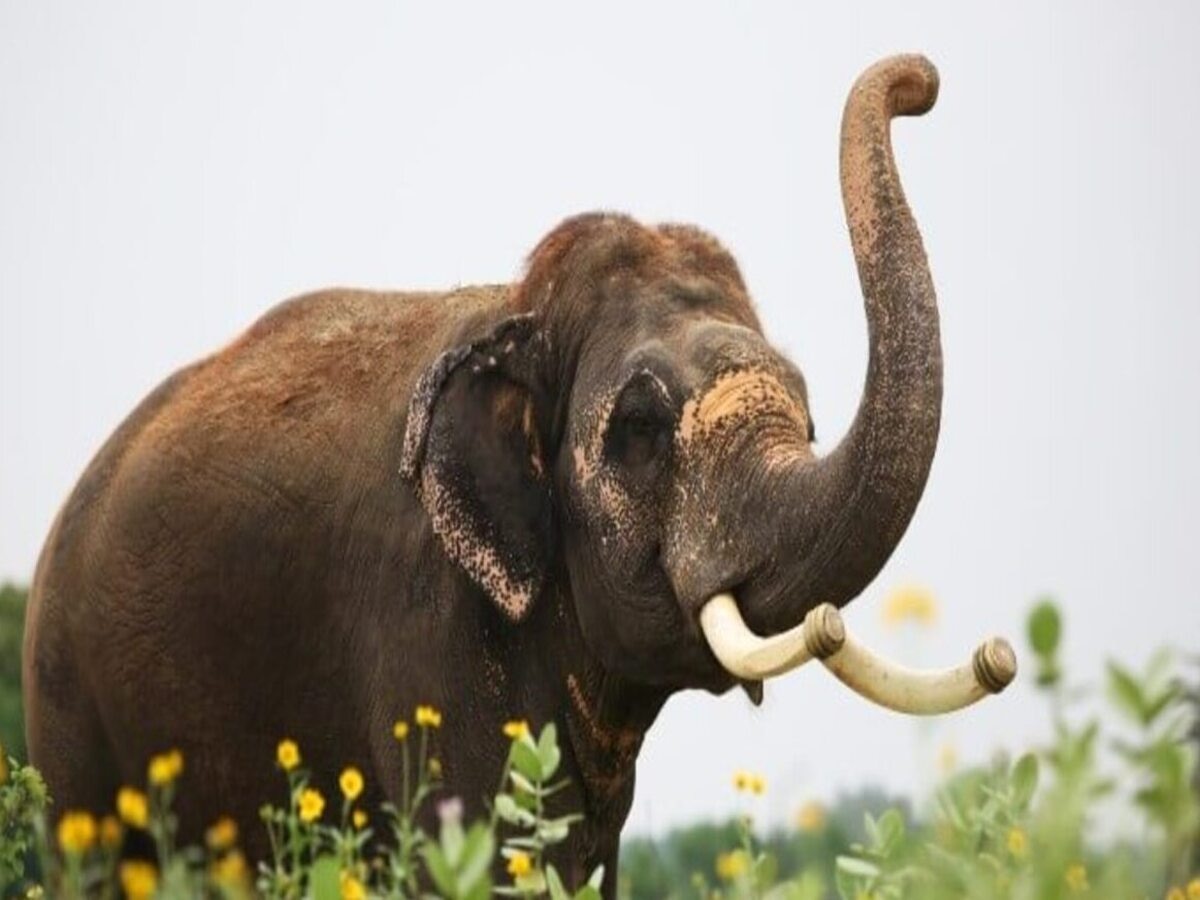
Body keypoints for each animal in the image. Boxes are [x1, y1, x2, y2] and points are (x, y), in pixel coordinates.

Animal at [23, 55, 943, 894]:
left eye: (811, 419)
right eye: (639, 429)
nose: (922, 82)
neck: (521, 315)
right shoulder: (428, 618)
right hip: (66, 706)